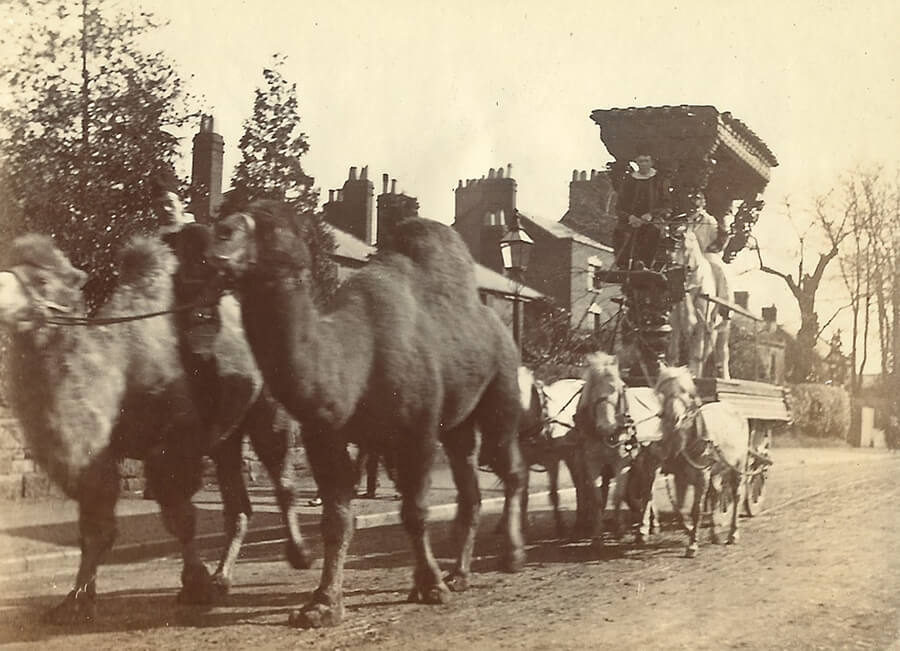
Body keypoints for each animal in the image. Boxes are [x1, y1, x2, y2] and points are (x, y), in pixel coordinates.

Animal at [0, 230, 310, 628]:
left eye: (40, 280)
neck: (117, 369)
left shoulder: (174, 444)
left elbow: (181, 518)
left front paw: (194, 585)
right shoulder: (98, 457)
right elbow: (94, 528)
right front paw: (76, 601)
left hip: (267, 409)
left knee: (282, 478)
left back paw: (299, 554)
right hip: (226, 435)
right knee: (237, 505)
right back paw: (223, 578)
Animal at [209, 201, 528, 628]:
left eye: (270, 226)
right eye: (226, 220)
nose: (217, 237)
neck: (354, 358)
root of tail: (497, 325)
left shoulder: (418, 432)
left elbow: (415, 511)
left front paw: (429, 586)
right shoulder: (324, 438)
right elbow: (337, 520)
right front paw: (322, 605)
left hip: (502, 387)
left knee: (510, 466)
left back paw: (510, 555)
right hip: (457, 425)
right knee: (470, 487)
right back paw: (459, 574)